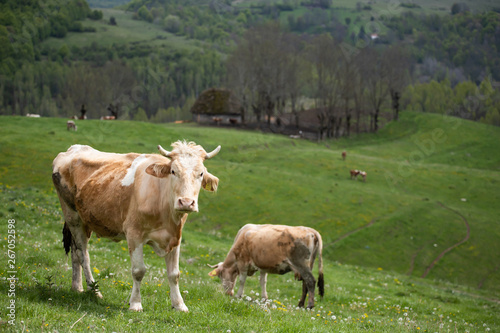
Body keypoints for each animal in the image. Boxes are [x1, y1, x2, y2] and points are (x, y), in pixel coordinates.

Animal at [52, 140, 221, 312]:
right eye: (173, 171)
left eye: (201, 174)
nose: (186, 202)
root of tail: (74, 148)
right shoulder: (134, 234)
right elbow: (139, 271)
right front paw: (135, 303)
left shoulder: (175, 237)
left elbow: (174, 274)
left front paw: (179, 305)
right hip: (72, 215)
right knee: (83, 254)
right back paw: (95, 291)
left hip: (84, 220)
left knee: (75, 251)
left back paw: (77, 287)